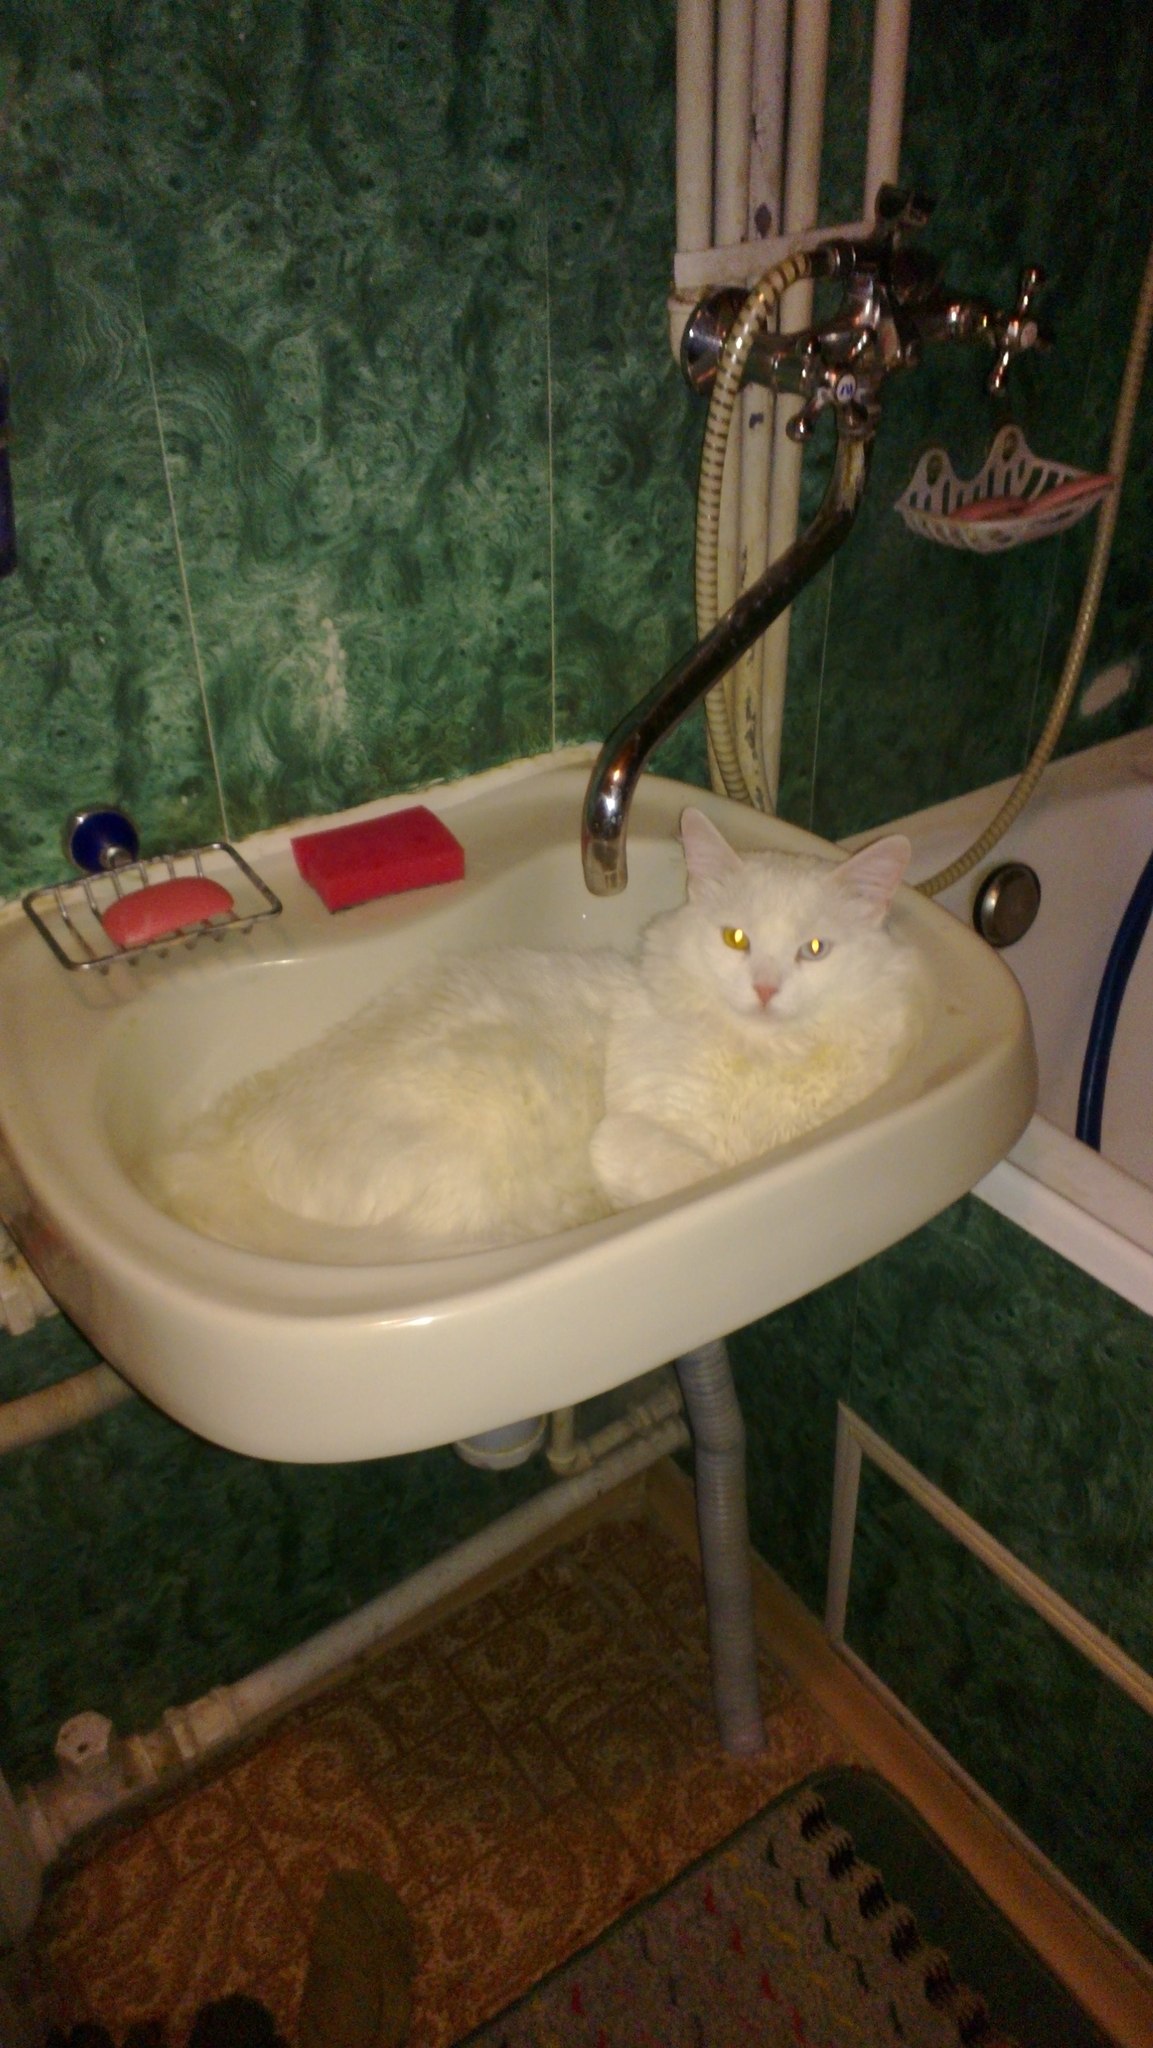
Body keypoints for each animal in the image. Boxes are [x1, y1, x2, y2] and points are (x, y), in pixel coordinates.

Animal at [144, 810, 925, 1259]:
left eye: (814, 951)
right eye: (735, 939)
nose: (764, 989)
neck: (763, 1053)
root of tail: (221, 1147)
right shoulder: (628, 1134)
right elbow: (704, 1167)